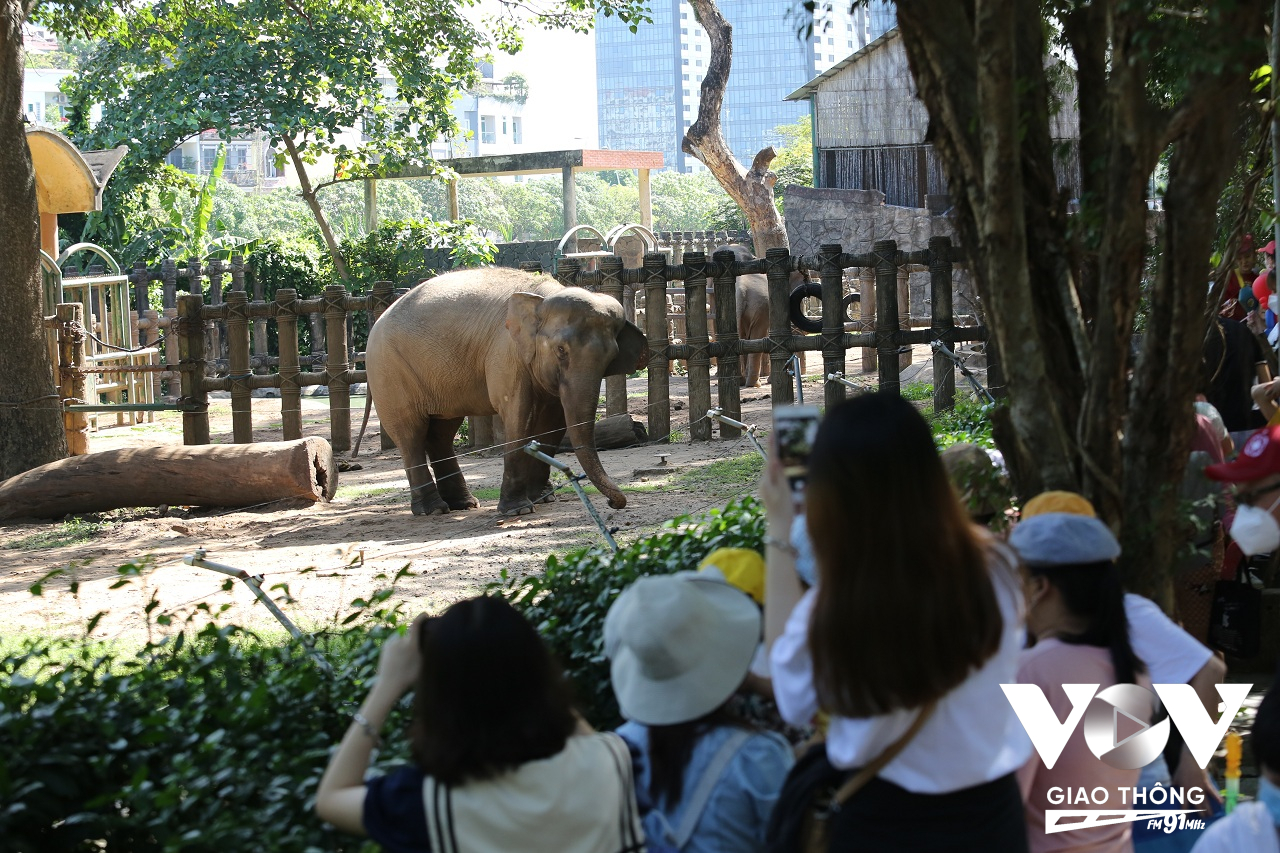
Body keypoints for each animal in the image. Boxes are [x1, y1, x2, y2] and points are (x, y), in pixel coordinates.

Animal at [371, 268, 650, 514]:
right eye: (560, 350)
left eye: (610, 358)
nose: (614, 503)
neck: (541, 298)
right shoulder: (505, 353)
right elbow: (518, 416)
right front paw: (519, 510)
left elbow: (555, 423)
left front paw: (541, 499)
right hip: (389, 373)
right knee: (411, 434)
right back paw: (433, 510)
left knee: (441, 432)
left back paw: (464, 504)